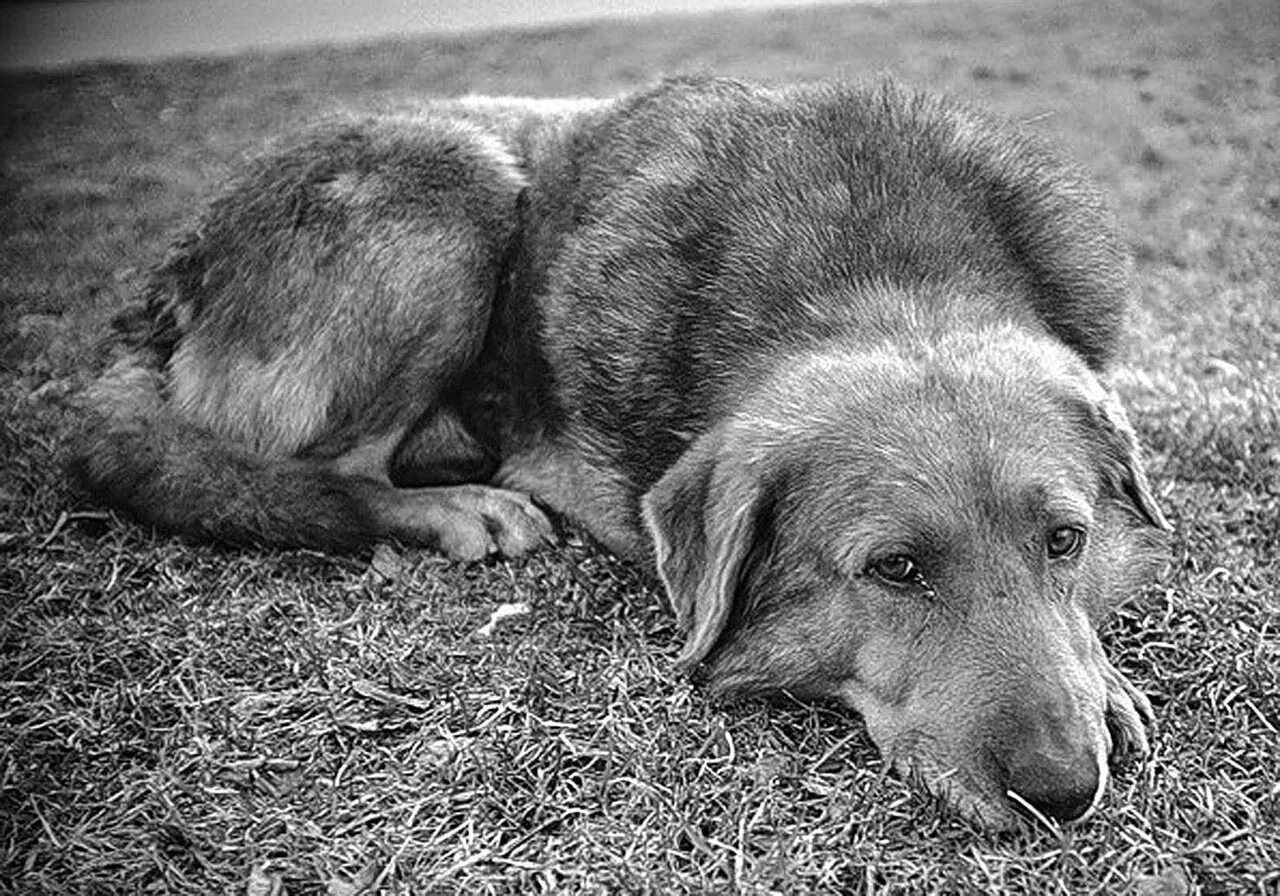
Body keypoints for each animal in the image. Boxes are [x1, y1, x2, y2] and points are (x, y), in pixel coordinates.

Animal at [70, 78, 1172, 834]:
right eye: (894, 569)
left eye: (1064, 541)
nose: (1062, 789)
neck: (876, 267)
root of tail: (171, 269)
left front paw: (1103, 679)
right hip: (453, 187)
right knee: (328, 472)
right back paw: (456, 503)